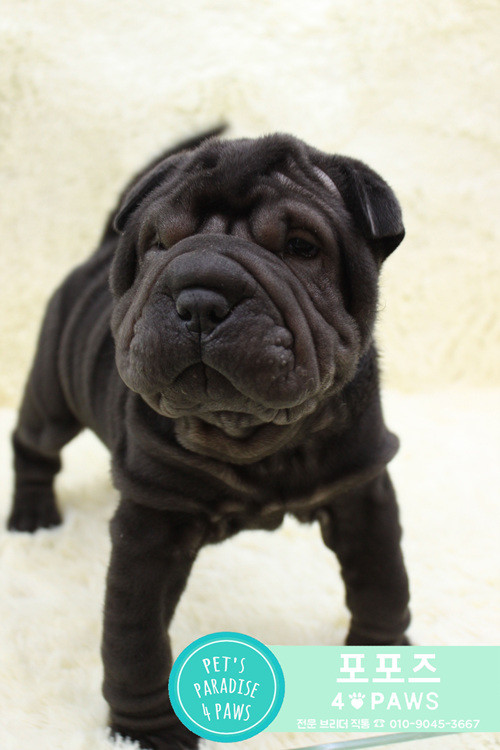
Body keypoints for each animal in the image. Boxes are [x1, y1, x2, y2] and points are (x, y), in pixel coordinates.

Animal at [8, 128, 411, 750]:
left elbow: (382, 579)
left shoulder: (361, 488)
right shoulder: (152, 525)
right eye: (159, 243)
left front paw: (379, 661)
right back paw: (32, 515)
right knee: (34, 447)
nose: (199, 298)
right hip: (51, 392)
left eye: (301, 247)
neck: (253, 434)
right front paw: (147, 732)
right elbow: (135, 637)